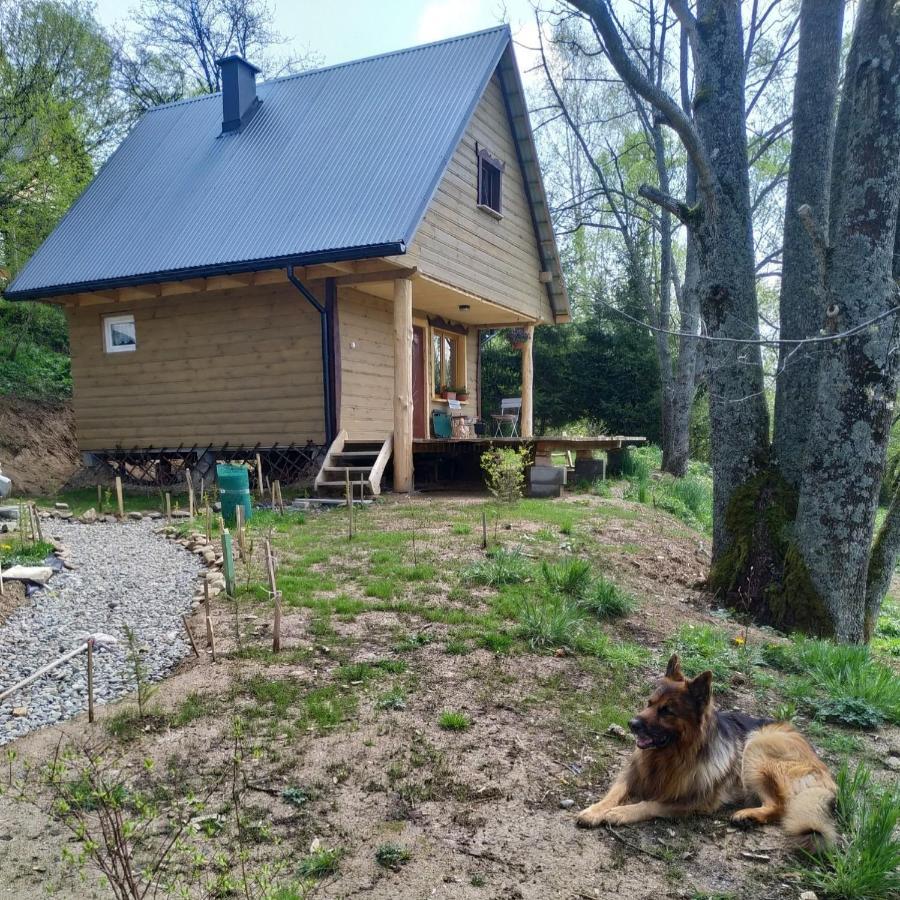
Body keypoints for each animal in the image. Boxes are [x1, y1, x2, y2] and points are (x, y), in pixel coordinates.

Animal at [576, 652, 836, 852]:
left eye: (667, 711)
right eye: (649, 703)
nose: (631, 724)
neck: (670, 757)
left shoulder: (694, 800)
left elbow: (650, 804)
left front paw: (621, 812)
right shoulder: (632, 774)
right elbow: (613, 793)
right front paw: (594, 811)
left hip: (757, 747)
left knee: (780, 805)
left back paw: (748, 815)